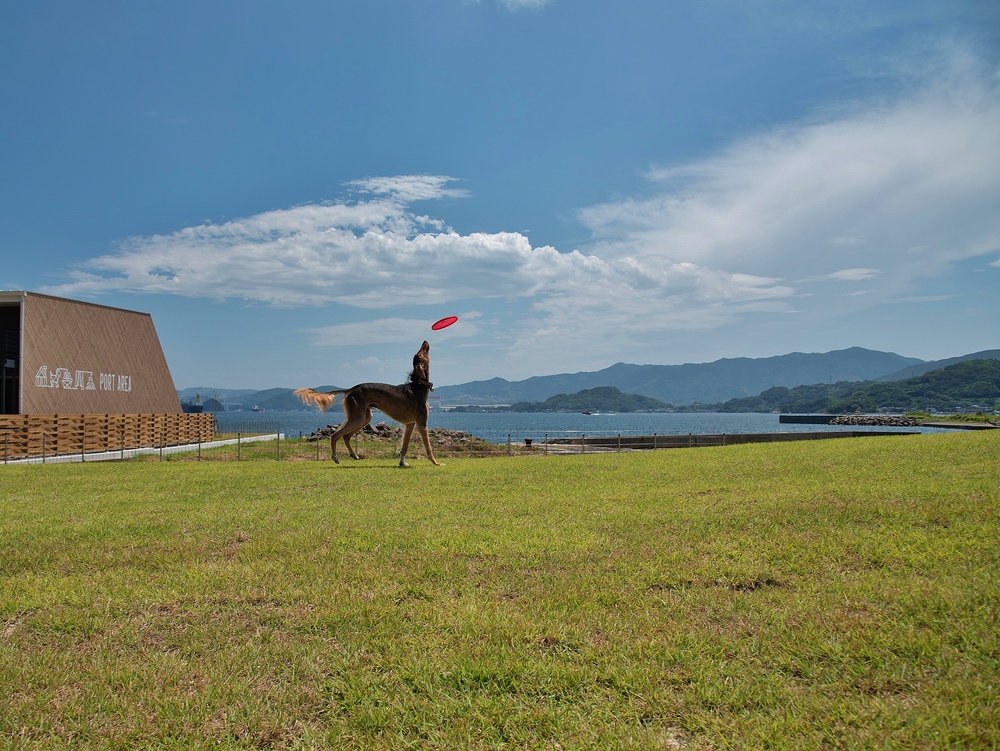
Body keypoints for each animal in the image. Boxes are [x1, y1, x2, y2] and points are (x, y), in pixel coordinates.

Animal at [292, 342, 442, 470]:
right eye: (420, 352)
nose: (425, 342)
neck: (418, 387)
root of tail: (350, 390)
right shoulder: (421, 424)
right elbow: (429, 448)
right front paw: (436, 462)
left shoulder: (410, 424)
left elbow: (404, 447)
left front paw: (402, 463)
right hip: (358, 417)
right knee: (335, 435)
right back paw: (335, 457)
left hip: (365, 417)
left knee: (346, 436)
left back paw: (354, 454)